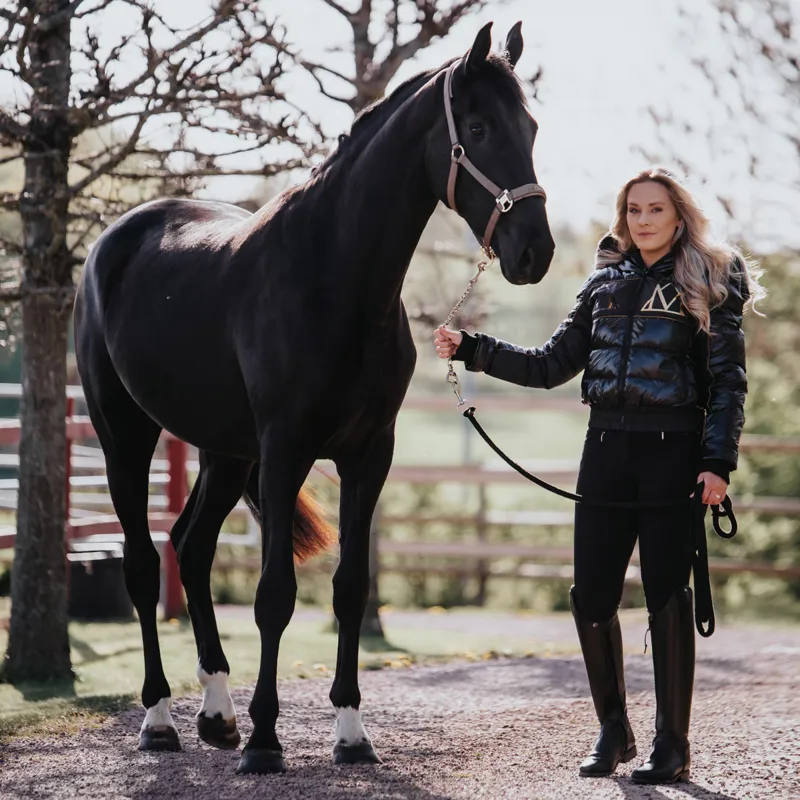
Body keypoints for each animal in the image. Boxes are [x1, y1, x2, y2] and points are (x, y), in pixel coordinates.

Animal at [73, 21, 554, 775]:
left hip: (225, 452)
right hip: (125, 435)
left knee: (192, 546)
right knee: (145, 563)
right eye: (477, 128)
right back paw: (159, 719)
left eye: (529, 126)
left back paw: (217, 713)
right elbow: (275, 595)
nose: (535, 251)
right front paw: (267, 742)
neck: (334, 278)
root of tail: (111, 242)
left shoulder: (368, 455)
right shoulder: (286, 451)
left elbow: (350, 588)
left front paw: (351, 734)